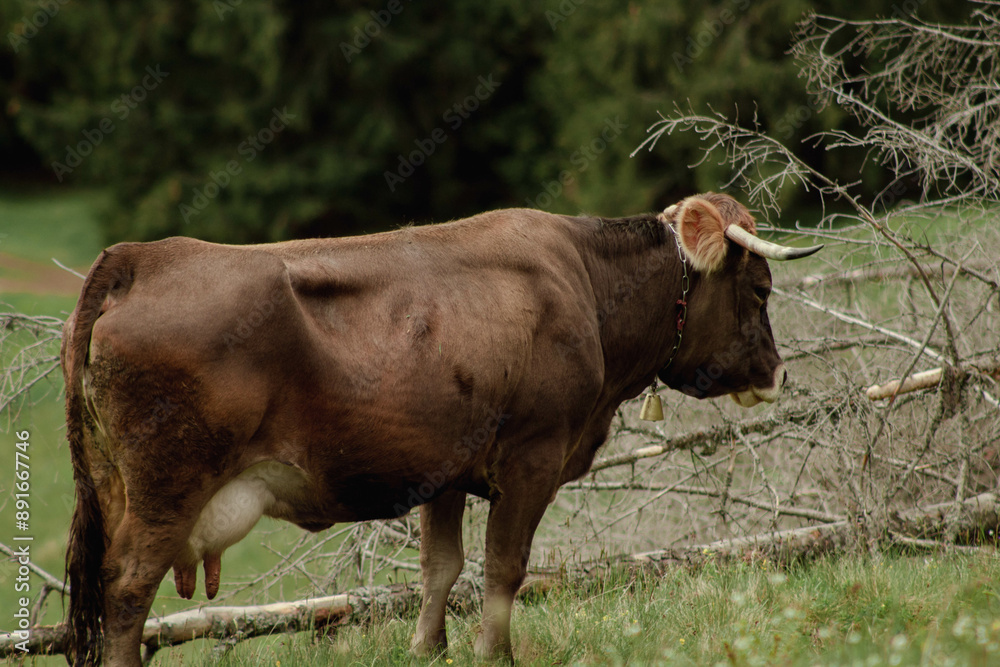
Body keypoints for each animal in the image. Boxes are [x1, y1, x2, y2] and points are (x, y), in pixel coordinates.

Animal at [64, 192, 820, 664]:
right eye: (759, 289)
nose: (777, 372)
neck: (583, 283)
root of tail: (144, 256)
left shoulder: (446, 470)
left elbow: (441, 566)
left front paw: (430, 649)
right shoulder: (532, 459)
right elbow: (505, 565)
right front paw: (495, 653)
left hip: (114, 488)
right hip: (166, 491)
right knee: (127, 590)